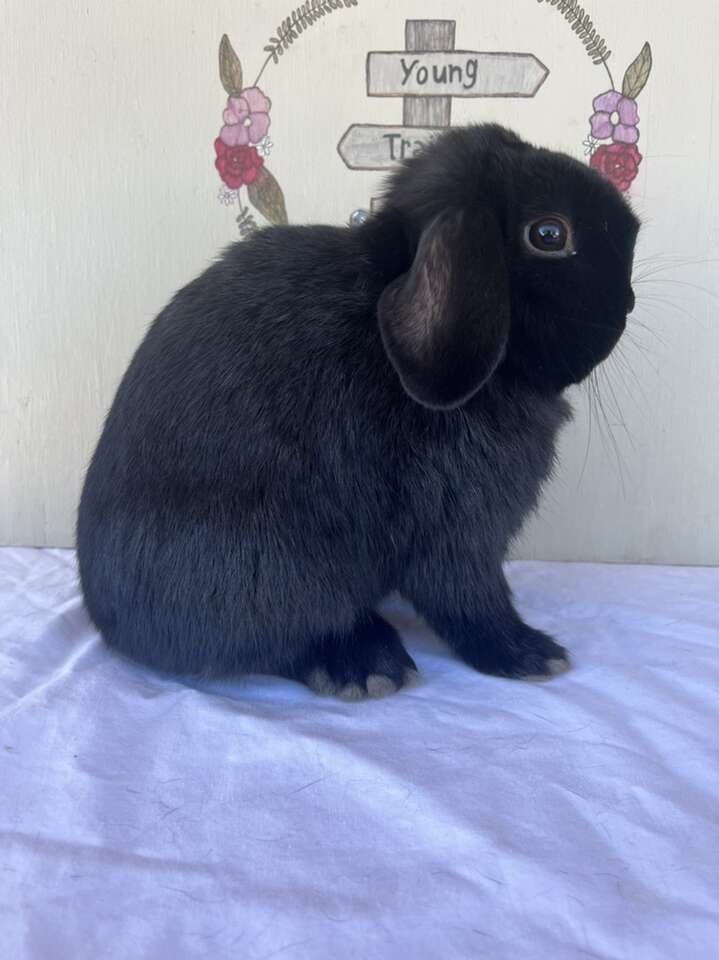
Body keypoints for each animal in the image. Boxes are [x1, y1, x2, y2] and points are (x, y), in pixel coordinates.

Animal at [77, 125, 640, 696]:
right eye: (548, 234)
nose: (628, 303)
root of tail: (107, 614)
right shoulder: (460, 526)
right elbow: (470, 597)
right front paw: (529, 653)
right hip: (273, 568)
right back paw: (364, 664)